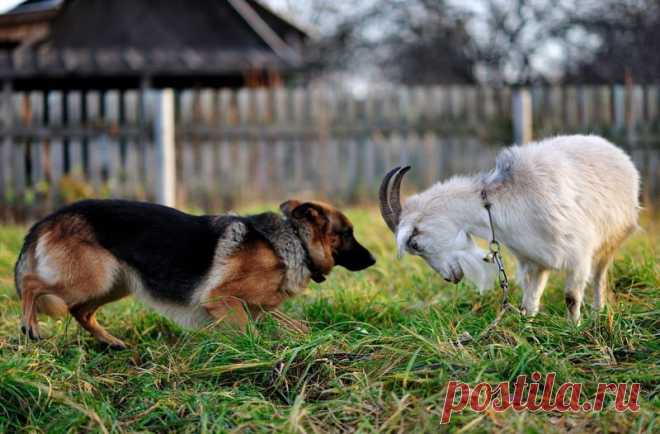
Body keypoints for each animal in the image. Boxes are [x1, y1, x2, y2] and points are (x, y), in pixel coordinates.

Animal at [15, 198, 374, 348]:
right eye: (347, 233)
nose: (373, 259)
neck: (294, 241)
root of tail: (50, 217)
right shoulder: (223, 300)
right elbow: (250, 334)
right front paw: (256, 355)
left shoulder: (260, 308)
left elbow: (298, 326)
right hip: (93, 277)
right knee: (31, 284)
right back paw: (30, 327)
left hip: (114, 283)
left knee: (80, 311)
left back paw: (111, 341)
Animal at [382, 136, 640, 322]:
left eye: (415, 244)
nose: (449, 278)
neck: (499, 202)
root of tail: (618, 153)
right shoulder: (533, 260)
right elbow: (530, 301)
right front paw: (528, 329)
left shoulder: (578, 254)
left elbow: (571, 298)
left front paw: (573, 329)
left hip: (612, 239)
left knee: (599, 276)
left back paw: (598, 312)